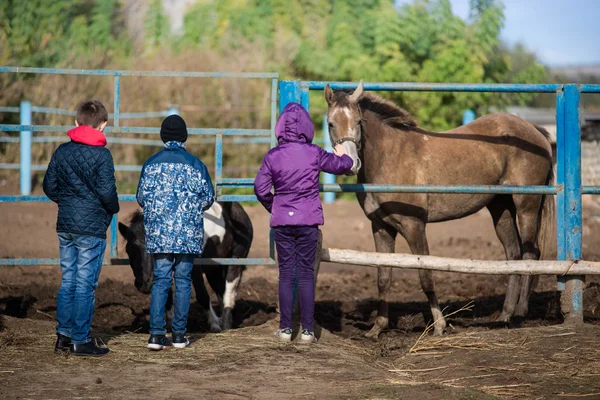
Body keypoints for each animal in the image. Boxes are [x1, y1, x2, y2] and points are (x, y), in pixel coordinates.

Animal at [118, 203, 252, 332]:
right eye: (128, 250)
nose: (145, 284)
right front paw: (169, 325)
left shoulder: (194, 268)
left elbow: (202, 295)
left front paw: (214, 325)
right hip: (214, 268)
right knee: (220, 290)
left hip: (235, 259)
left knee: (229, 288)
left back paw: (226, 324)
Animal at [326, 81, 556, 338]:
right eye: (331, 123)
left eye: (358, 122)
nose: (351, 164)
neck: (390, 157)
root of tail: (535, 131)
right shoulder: (381, 227)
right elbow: (383, 277)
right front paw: (377, 328)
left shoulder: (414, 226)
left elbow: (425, 274)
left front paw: (439, 325)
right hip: (501, 208)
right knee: (513, 255)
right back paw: (505, 315)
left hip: (527, 205)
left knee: (529, 255)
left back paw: (519, 314)